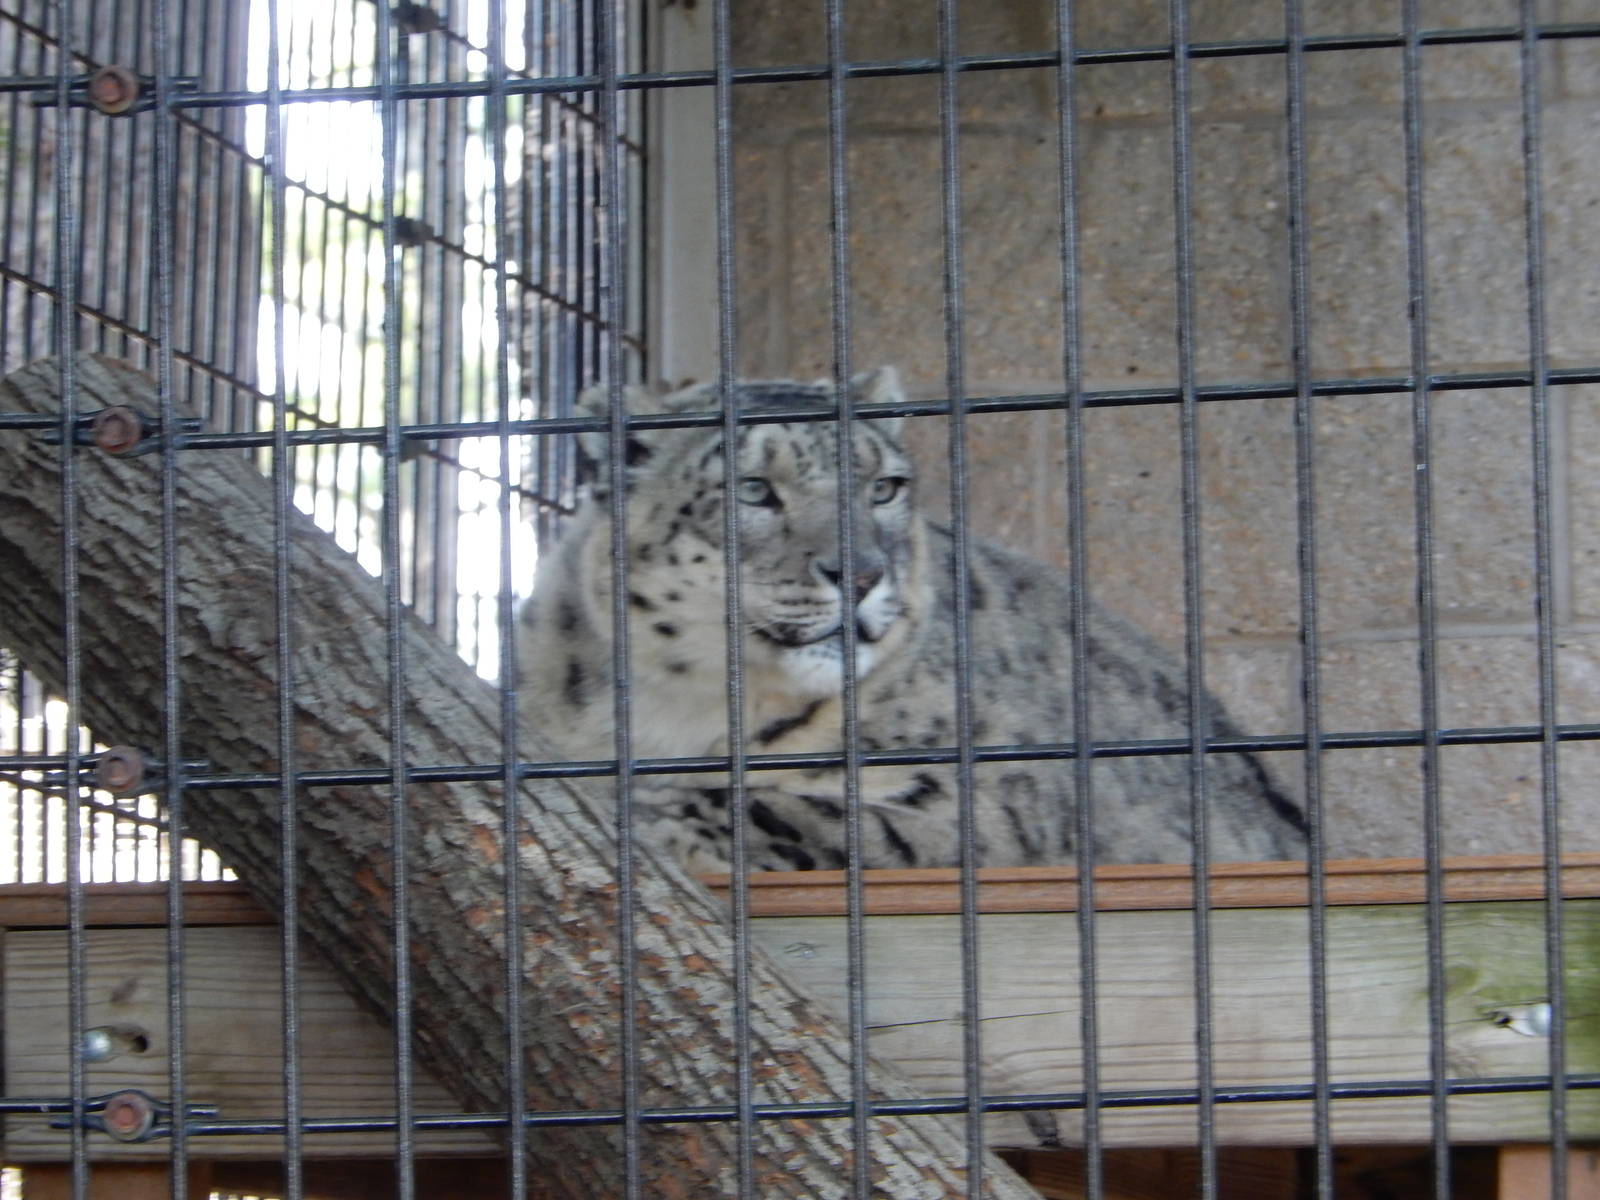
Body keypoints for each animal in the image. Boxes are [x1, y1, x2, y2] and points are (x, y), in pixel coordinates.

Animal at [516, 368, 1307, 873]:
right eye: (753, 489)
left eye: (884, 487)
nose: (863, 574)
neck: (684, 710)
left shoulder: (1007, 809)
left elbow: (830, 816)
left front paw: (663, 814)